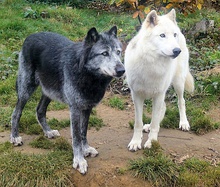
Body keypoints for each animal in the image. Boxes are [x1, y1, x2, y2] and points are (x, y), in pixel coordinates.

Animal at [124, 9, 193, 151]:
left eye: (173, 35)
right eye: (162, 35)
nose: (177, 50)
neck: (151, 63)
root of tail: (181, 31)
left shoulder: (158, 95)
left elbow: (155, 124)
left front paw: (152, 142)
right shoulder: (137, 96)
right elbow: (138, 123)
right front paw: (135, 142)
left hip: (178, 84)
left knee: (181, 102)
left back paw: (184, 123)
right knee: (164, 107)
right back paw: (148, 126)